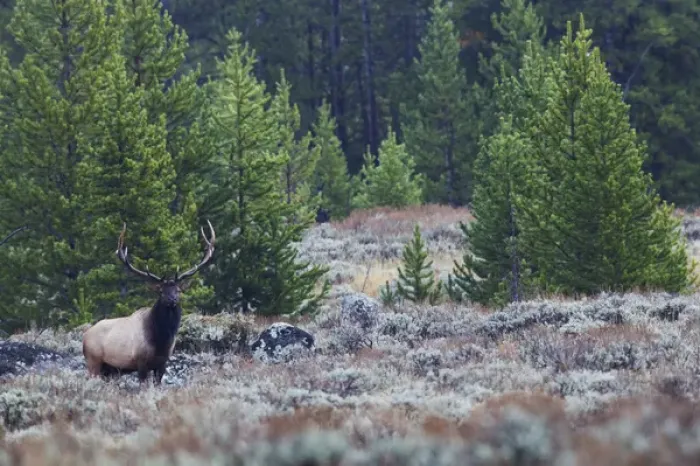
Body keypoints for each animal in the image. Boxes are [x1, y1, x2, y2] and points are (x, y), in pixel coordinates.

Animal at [82, 221, 215, 385]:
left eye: (178, 290)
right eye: (161, 291)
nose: (172, 299)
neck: (161, 341)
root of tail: (84, 338)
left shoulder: (162, 363)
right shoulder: (141, 361)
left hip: (109, 370)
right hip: (93, 362)